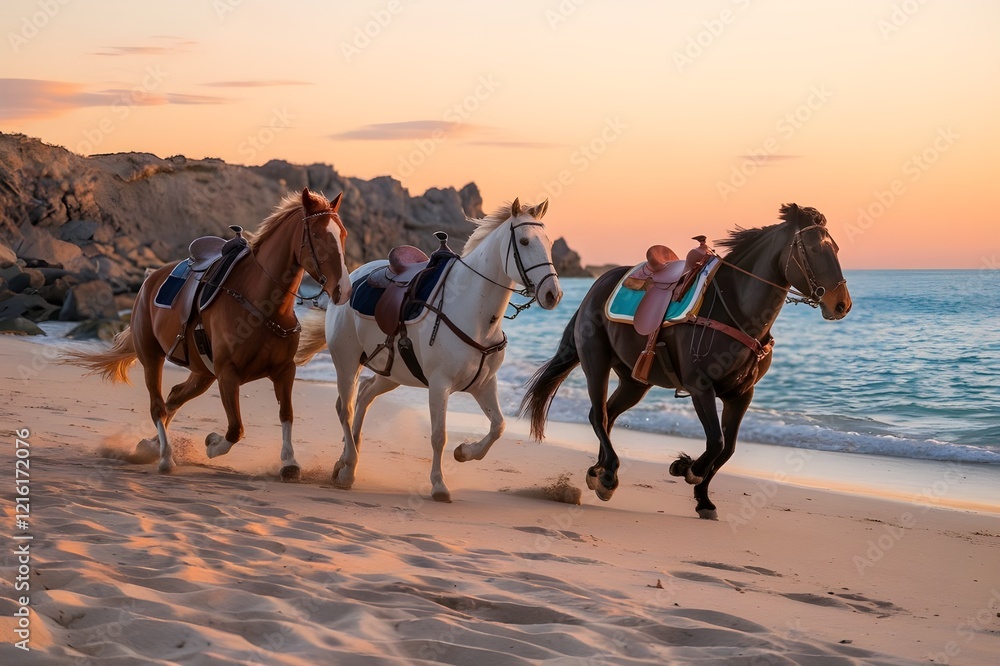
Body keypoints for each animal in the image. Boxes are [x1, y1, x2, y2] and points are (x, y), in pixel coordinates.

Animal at [65, 188, 352, 479]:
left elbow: (287, 415)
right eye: (316, 234)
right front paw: (213, 444)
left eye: (342, 235)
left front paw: (289, 461)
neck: (262, 305)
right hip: (152, 357)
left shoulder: (284, 371)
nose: (343, 289)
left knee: (174, 397)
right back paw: (165, 457)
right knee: (158, 406)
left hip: (202, 373)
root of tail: (149, 279)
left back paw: (150, 445)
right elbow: (235, 429)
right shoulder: (228, 375)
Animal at [295, 198, 562, 502]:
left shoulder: (484, 384)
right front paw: (439, 485)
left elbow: (498, 426)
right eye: (525, 241)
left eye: (549, 242)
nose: (553, 294)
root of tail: (348, 279)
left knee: (364, 394)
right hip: (347, 362)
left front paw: (465, 452)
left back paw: (345, 459)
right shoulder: (439, 384)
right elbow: (439, 436)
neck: (472, 310)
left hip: (391, 373)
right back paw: (348, 467)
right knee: (346, 407)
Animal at [520, 203, 852, 519]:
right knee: (599, 416)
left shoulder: (741, 395)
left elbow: (727, 449)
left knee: (606, 416)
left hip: (634, 381)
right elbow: (716, 442)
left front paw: (703, 498)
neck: (735, 308)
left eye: (835, 248)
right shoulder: (700, 387)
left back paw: (598, 472)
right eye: (814, 249)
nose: (842, 304)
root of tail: (597, 286)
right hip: (596, 363)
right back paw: (609, 475)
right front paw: (687, 468)